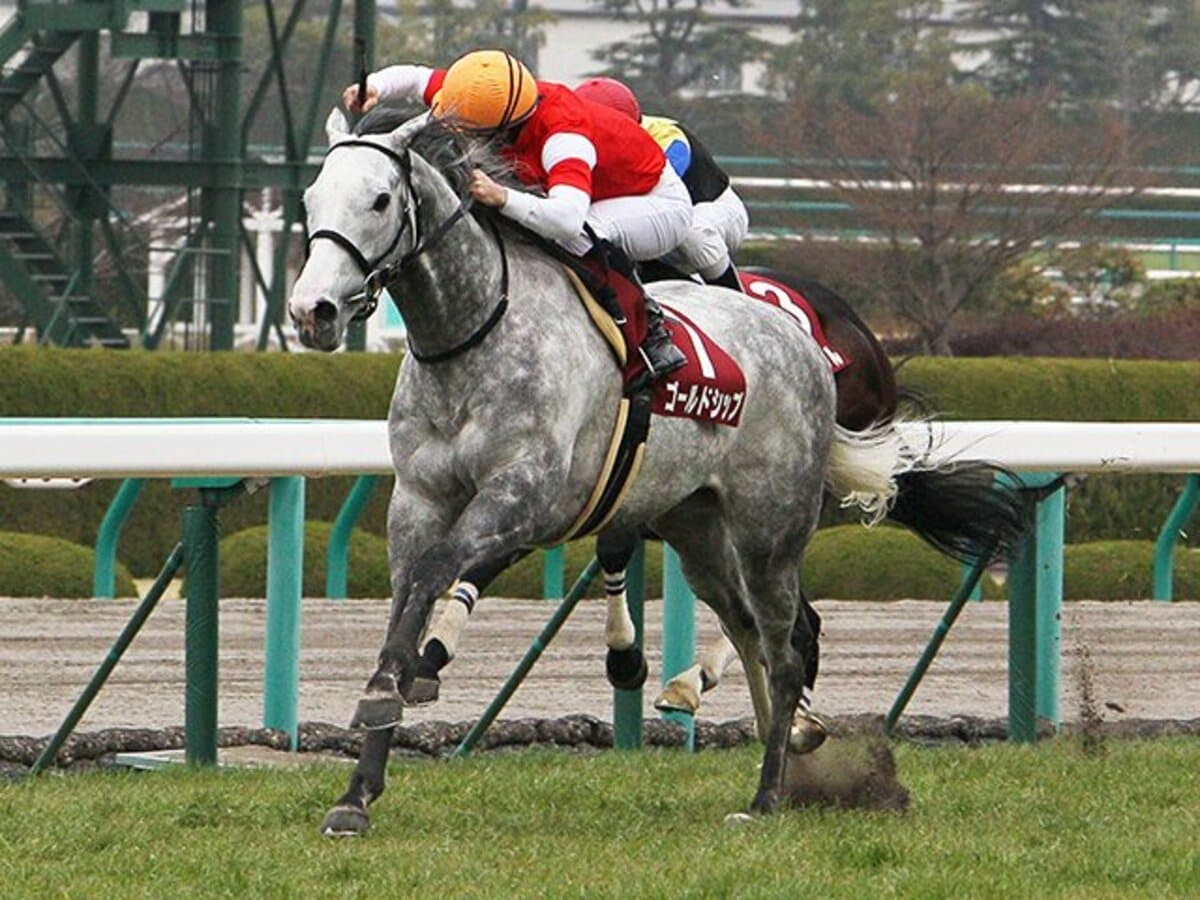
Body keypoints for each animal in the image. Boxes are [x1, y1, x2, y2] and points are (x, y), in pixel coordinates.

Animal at [289, 108, 1026, 836]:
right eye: (311, 199)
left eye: (380, 200)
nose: (311, 311)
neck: (474, 337)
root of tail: (808, 343)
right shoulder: (418, 501)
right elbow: (409, 599)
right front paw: (359, 787)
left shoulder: (526, 493)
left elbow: (437, 573)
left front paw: (398, 687)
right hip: (696, 528)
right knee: (751, 628)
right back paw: (783, 749)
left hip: (770, 529)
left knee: (787, 644)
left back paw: (768, 792)